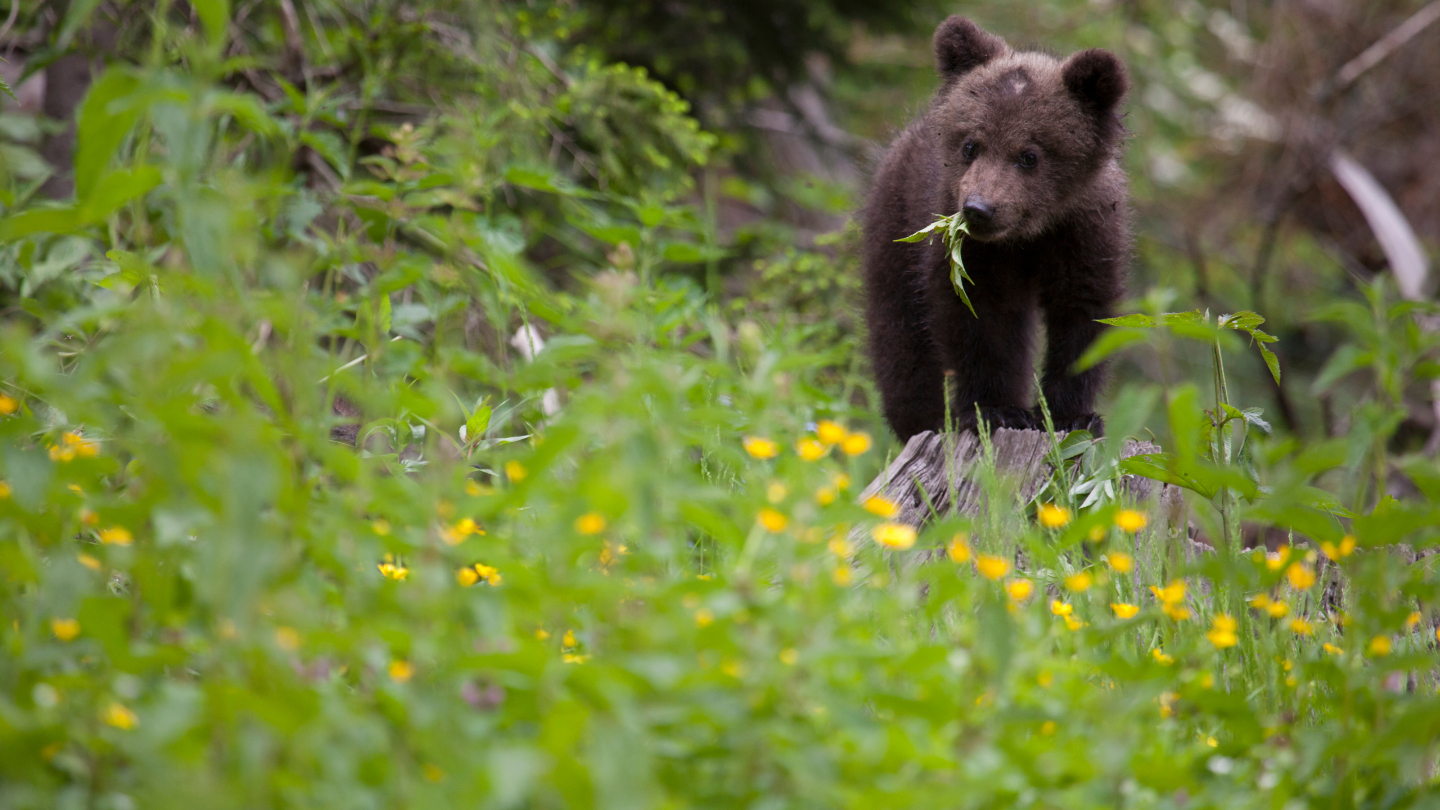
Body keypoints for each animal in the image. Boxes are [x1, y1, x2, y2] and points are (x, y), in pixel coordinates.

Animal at [860, 16, 1129, 442]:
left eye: (1029, 155)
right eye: (971, 145)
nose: (978, 209)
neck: (1026, 236)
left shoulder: (1085, 232)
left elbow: (1084, 314)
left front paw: (1072, 414)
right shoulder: (971, 252)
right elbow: (978, 318)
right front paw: (996, 410)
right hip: (895, 228)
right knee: (900, 337)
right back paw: (924, 419)